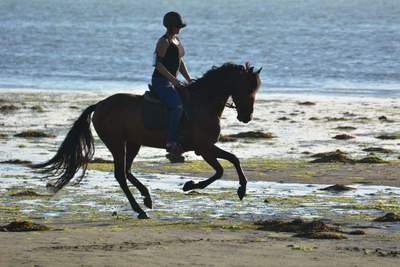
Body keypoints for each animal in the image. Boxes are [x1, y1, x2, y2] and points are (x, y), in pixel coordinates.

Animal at [32, 62, 262, 220]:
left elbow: (234, 159)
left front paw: (241, 189)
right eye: (247, 88)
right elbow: (221, 170)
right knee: (120, 175)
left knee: (126, 171)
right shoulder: (203, 148)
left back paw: (147, 198)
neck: (203, 103)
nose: (246, 116)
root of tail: (100, 105)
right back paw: (140, 209)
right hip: (116, 143)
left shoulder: (207, 147)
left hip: (133, 143)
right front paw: (190, 185)